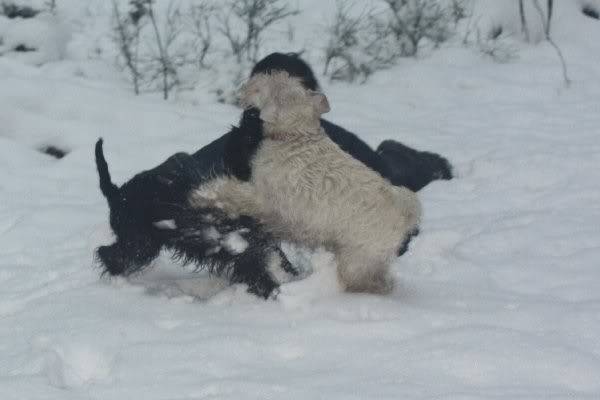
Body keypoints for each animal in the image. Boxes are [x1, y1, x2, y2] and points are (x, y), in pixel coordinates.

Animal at [190, 72, 420, 294]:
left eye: (272, 81)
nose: (249, 83)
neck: (294, 134)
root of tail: (406, 214)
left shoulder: (264, 198)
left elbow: (232, 192)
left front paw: (203, 193)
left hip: (358, 259)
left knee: (370, 282)